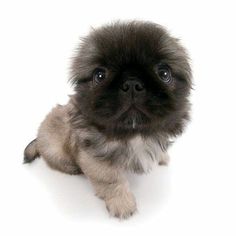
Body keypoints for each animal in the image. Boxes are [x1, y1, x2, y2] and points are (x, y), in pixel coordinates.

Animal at [24, 21, 191, 218]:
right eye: (99, 75)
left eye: (164, 73)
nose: (132, 83)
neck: (134, 133)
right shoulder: (95, 158)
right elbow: (111, 181)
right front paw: (122, 203)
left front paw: (161, 156)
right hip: (54, 148)